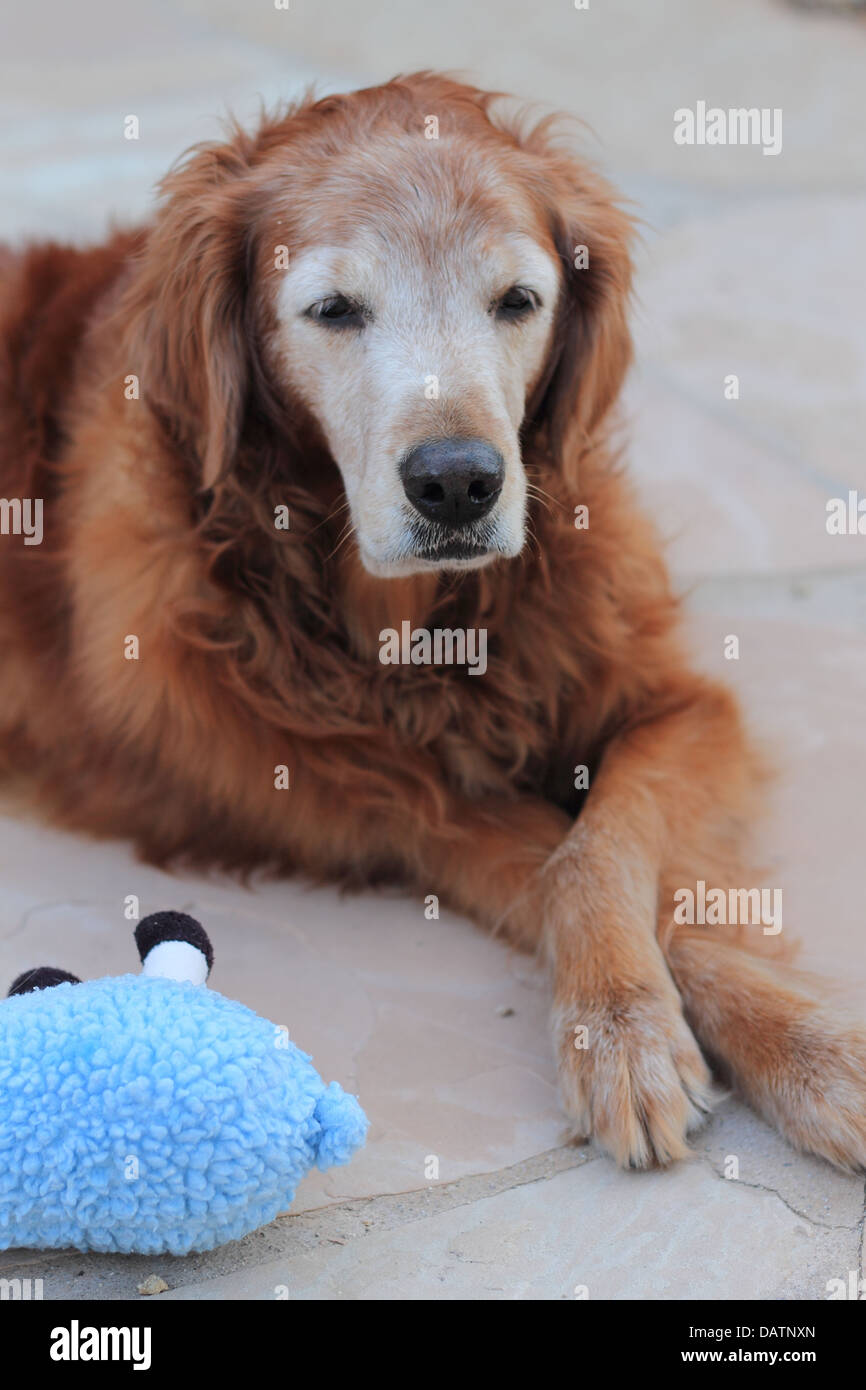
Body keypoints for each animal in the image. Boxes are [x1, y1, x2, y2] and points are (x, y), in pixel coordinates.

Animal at [1, 70, 866, 1167]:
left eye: (517, 301)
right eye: (333, 309)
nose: (456, 482)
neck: (423, 623)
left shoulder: (681, 705)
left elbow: (607, 850)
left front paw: (803, 1045)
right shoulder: (381, 803)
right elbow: (577, 873)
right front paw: (625, 1027)